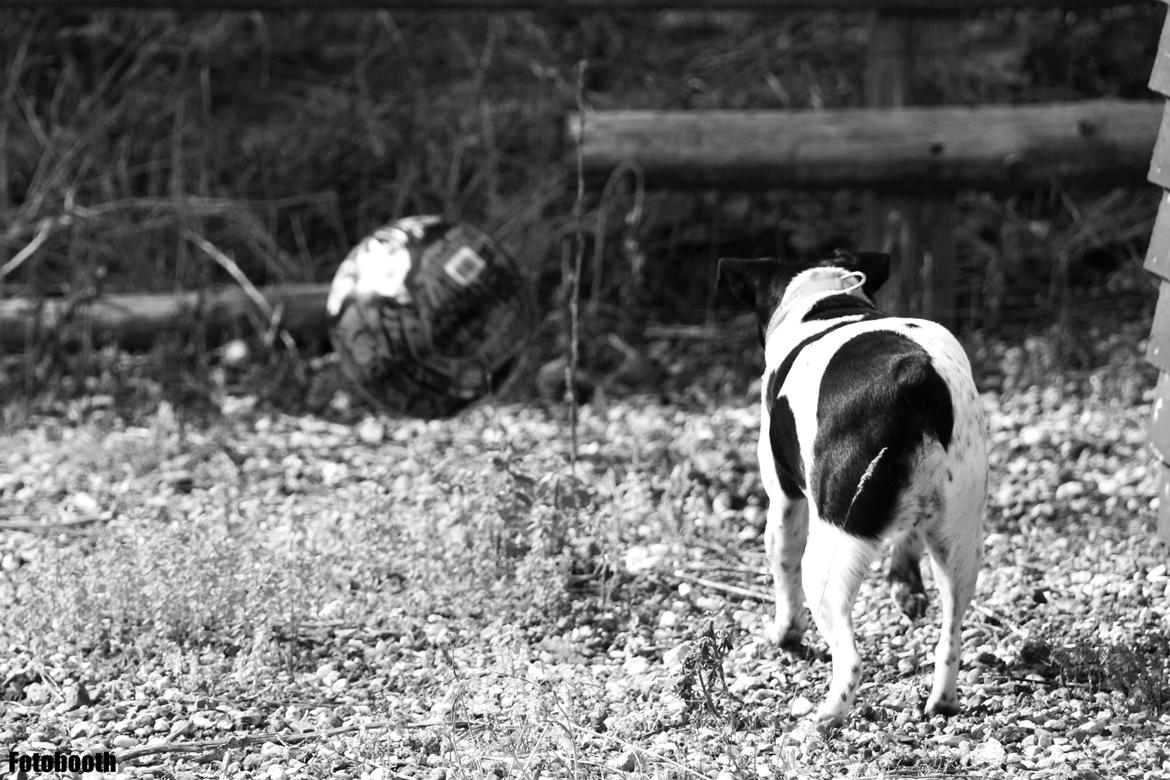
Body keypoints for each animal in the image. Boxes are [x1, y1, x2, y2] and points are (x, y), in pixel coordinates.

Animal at [720, 253, 987, 729]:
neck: (828, 303)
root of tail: (916, 379)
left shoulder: (784, 503)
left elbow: (782, 574)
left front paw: (784, 635)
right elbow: (908, 546)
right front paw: (904, 583)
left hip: (830, 558)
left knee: (850, 658)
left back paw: (825, 717)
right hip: (959, 546)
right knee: (951, 634)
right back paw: (941, 701)